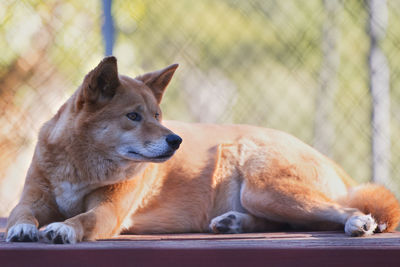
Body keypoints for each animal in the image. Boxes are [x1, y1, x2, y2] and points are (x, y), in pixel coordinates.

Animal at [5, 57, 400, 244]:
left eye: (158, 115)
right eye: (133, 116)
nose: (175, 140)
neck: (81, 165)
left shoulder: (108, 212)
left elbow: (83, 219)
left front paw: (63, 229)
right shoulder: (33, 198)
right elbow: (20, 213)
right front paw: (22, 229)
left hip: (266, 190)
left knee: (340, 209)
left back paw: (358, 222)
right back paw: (234, 222)